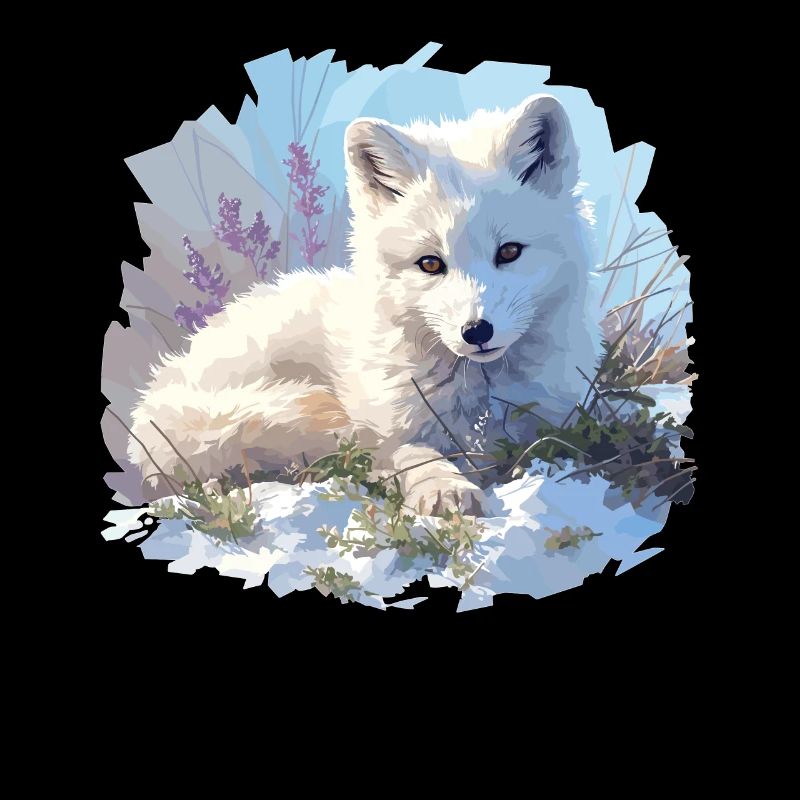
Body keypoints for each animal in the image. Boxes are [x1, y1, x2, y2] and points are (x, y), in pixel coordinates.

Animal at [128, 93, 602, 516]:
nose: (476, 331)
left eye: (509, 252)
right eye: (431, 263)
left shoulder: (550, 422)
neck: (477, 400)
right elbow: (413, 455)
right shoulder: (387, 432)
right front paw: (445, 487)